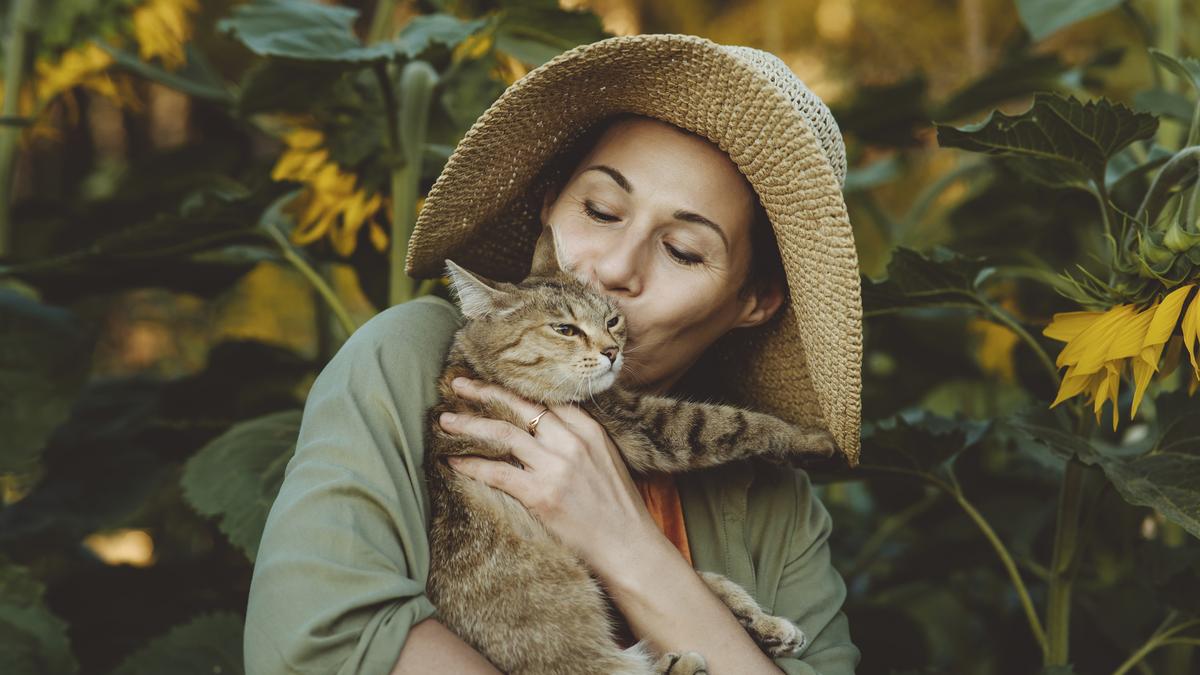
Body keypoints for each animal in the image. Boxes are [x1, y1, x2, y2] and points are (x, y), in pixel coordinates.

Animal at [427, 225, 840, 672]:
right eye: (565, 329)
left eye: (612, 319)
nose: (612, 351)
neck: (475, 366)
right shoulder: (644, 424)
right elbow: (738, 422)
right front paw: (810, 439)